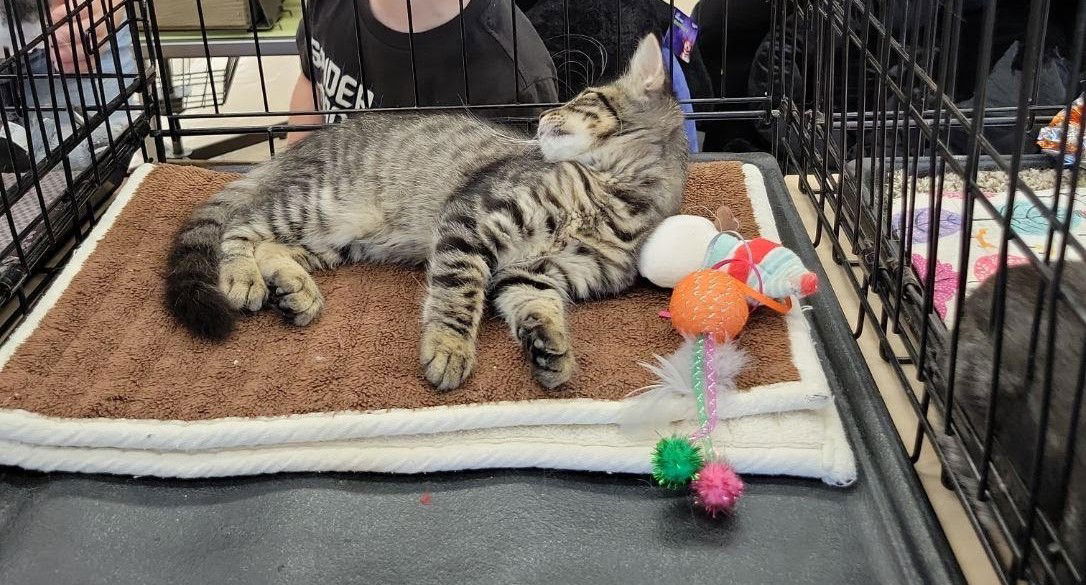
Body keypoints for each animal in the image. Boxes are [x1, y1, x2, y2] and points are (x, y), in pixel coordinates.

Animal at [166, 35, 686, 392]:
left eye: (582, 99)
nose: (540, 119)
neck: (608, 199)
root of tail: (303, 147)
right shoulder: (473, 220)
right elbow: (457, 294)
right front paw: (449, 348)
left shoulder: (534, 275)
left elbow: (538, 306)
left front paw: (549, 348)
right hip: (318, 204)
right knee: (240, 226)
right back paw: (242, 278)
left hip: (337, 240)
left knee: (273, 245)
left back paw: (294, 288)